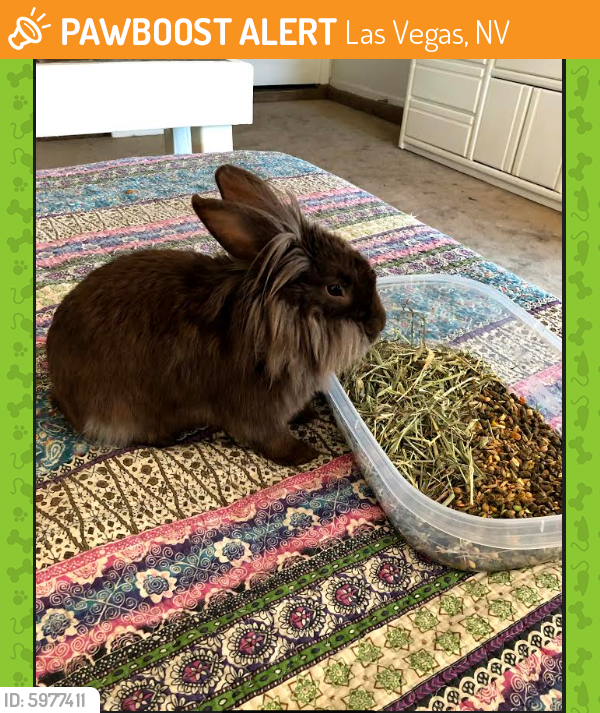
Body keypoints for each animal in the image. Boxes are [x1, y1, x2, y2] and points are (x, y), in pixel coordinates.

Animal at [46, 165, 386, 466]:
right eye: (335, 288)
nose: (379, 324)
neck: (280, 322)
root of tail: (60, 392)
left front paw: (309, 415)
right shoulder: (257, 414)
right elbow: (273, 440)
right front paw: (305, 454)